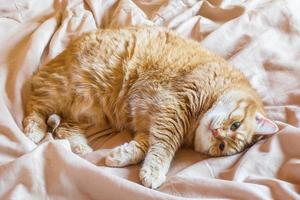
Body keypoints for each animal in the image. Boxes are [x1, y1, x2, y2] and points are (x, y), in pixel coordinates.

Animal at [23, 25, 278, 188]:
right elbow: (165, 147)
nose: (216, 133)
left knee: (65, 126)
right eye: (235, 125)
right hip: (64, 90)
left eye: (222, 146)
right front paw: (154, 172)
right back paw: (35, 130)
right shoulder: (173, 109)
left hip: (86, 113)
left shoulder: (152, 125)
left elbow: (143, 147)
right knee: (34, 106)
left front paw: (122, 157)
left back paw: (80, 147)